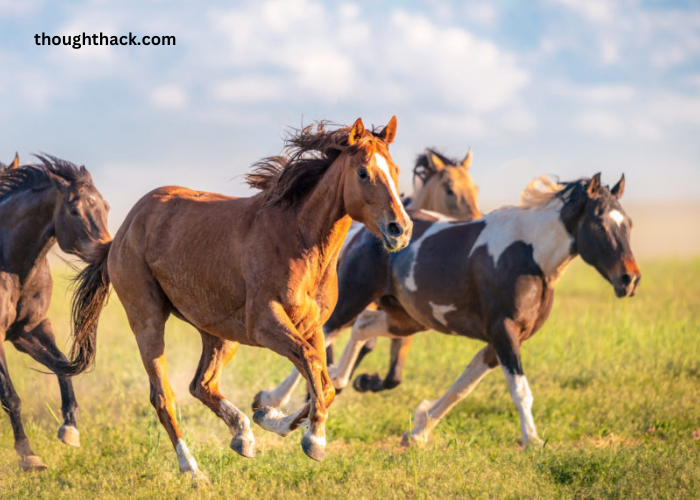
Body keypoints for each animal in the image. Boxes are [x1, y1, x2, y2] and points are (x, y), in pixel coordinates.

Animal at [0, 154, 110, 470]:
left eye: (106, 206)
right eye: (74, 210)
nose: (107, 250)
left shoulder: (29, 329)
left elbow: (62, 365)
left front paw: (70, 429)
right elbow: (10, 395)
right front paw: (28, 455)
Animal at [60, 117, 412, 480]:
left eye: (395, 169)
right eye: (363, 172)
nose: (400, 229)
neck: (299, 242)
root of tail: (123, 231)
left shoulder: (312, 326)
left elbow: (322, 381)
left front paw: (271, 418)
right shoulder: (265, 324)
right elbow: (312, 366)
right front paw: (313, 439)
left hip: (220, 333)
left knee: (202, 384)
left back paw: (243, 435)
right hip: (148, 321)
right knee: (163, 396)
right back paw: (193, 469)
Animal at [256, 147, 482, 410]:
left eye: (475, 188)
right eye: (450, 190)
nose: (476, 220)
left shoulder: (402, 316)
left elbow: (393, 374)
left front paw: (364, 381)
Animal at [322, 174, 640, 448]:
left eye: (628, 223)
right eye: (598, 225)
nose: (630, 279)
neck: (530, 257)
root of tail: (364, 231)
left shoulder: (502, 340)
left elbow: (462, 387)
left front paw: (418, 431)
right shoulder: (504, 332)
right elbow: (520, 391)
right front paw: (532, 441)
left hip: (407, 318)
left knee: (362, 327)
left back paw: (340, 379)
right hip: (352, 299)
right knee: (325, 334)